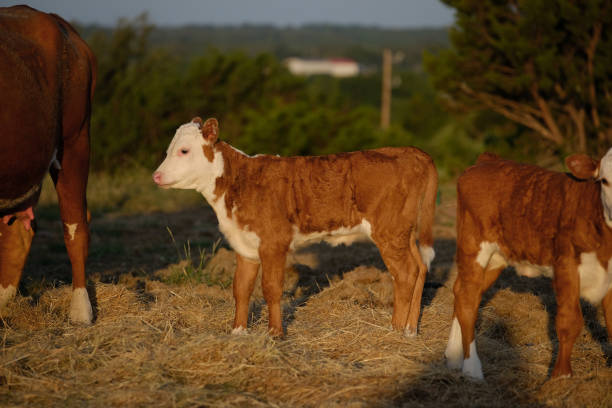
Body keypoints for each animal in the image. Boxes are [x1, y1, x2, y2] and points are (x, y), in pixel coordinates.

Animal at [153, 116, 440, 336]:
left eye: (184, 150)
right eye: (168, 149)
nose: (156, 175)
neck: (239, 182)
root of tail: (410, 151)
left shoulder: (274, 242)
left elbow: (271, 288)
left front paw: (275, 334)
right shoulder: (245, 245)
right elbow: (241, 289)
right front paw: (238, 332)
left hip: (389, 231)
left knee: (405, 274)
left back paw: (395, 329)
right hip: (404, 233)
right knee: (420, 268)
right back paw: (411, 330)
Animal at [444, 150, 612, 380]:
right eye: (604, 180)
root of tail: (488, 160)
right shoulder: (566, 266)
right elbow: (569, 322)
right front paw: (561, 378)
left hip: (496, 258)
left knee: (462, 291)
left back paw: (453, 356)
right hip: (474, 245)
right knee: (467, 299)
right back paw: (472, 369)